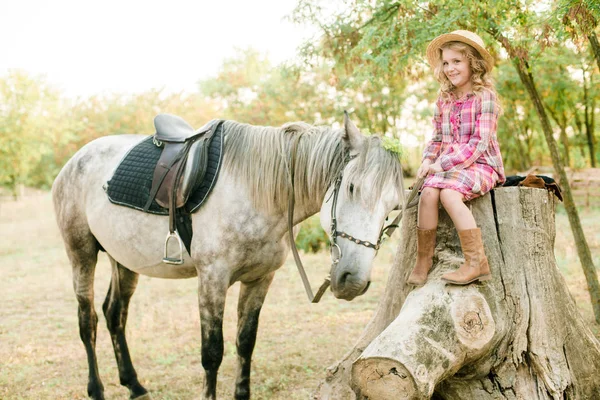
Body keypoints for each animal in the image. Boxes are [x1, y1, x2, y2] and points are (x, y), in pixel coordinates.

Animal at [51, 114, 406, 398]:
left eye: (394, 208)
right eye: (351, 187)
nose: (353, 281)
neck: (256, 192)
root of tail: (74, 160)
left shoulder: (260, 280)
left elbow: (245, 343)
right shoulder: (212, 280)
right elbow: (212, 353)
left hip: (123, 261)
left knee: (115, 315)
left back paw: (134, 384)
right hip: (81, 254)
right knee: (88, 321)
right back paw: (96, 389)